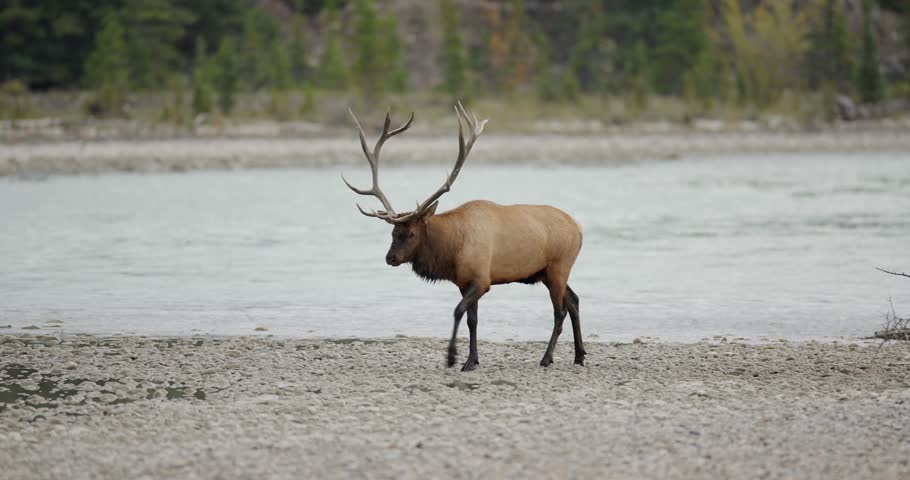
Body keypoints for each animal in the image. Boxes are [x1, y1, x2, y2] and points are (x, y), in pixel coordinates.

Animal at [343, 103, 585, 371]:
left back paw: (547, 357)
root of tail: (579, 229)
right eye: (393, 232)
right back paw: (579, 355)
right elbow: (472, 320)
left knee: (560, 311)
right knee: (574, 301)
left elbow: (458, 312)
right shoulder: (464, 282)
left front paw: (453, 357)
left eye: (411, 233)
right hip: (546, 272)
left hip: (559, 266)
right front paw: (472, 359)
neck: (452, 250)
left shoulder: (482, 279)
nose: (390, 258)